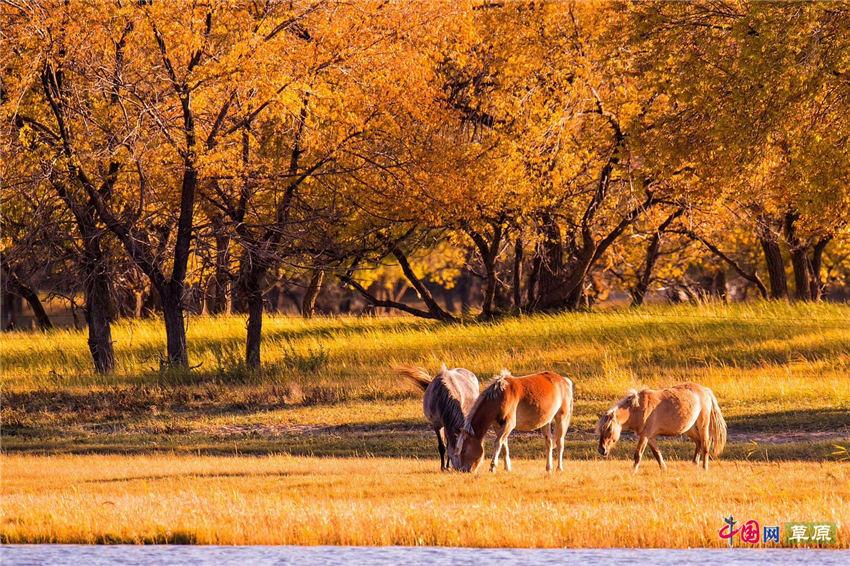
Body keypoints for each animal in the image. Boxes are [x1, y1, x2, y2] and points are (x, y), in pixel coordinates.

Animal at [592, 384, 724, 472]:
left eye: (609, 429)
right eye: (601, 430)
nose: (602, 450)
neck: (637, 409)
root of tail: (705, 390)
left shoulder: (645, 436)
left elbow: (638, 455)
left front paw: (633, 471)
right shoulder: (650, 437)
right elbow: (657, 454)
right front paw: (664, 469)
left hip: (703, 425)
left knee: (705, 445)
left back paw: (704, 468)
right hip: (689, 428)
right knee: (698, 443)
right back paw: (694, 465)